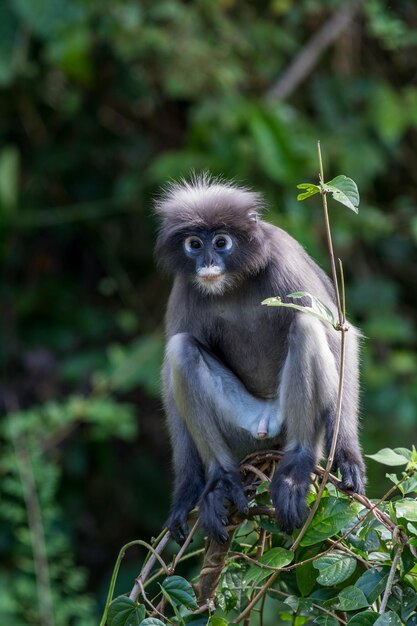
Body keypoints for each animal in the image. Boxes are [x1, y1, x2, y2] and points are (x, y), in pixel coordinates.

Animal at [154, 173, 364, 544]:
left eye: (221, 242)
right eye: (194, 244)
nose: (207, 263)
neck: (234, 283)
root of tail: (267, 423)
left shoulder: (284, 259)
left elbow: (343, 336)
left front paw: (348, 456)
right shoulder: (185, 287)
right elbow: (169, 375)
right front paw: (187, 491)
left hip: (291, 419)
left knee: (306, 324)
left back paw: (296, 466)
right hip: (243, 429)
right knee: (181, 349)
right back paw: (221, 480)